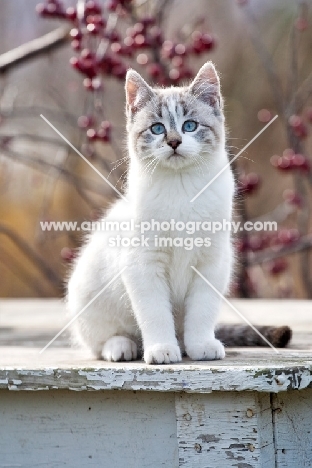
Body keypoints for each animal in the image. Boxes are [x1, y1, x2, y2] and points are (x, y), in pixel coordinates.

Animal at [67, 60, 234, 364]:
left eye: (189, 126)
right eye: (157, 129)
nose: (174, 141)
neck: (180, 188)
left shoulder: (211, 262)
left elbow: (202, 311)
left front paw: (201, 345)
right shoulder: (143, 264)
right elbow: (155, 313)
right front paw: (162, 350)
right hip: (88, 293)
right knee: (100, 341)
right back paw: (122, 347)